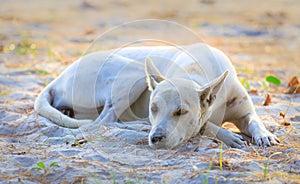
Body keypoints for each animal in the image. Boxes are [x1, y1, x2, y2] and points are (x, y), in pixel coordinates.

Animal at [34, 43, 278, 150]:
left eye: (181, 112)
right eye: (153, 109)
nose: (156, 137)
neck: (195, 73)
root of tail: (59, 78)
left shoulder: (245, 111)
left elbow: (255, 120)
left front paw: (265, 135)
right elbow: (206, 125)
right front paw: (228, 136)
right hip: (131, 74)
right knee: (103, 121)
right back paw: (137, 125)